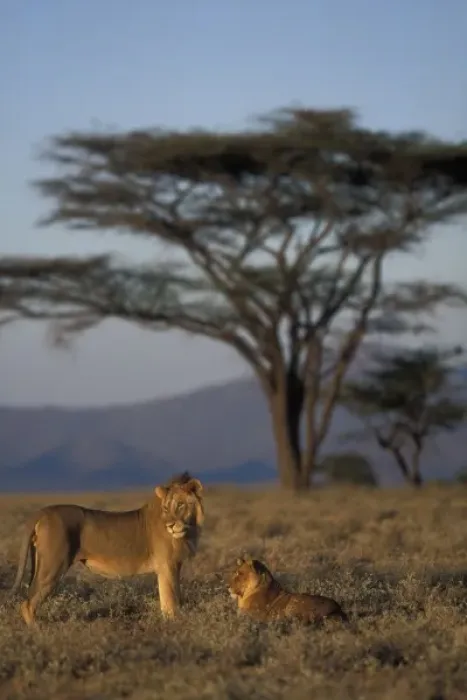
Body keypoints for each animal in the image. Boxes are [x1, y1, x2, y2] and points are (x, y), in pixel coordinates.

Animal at [11, 472, 204, 626]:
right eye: (166, 507)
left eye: (180, 505)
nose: (170, 526)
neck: (190, 528)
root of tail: (43, 512)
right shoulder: (167, 565)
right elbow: (170, 600)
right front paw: (174, 624)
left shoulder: (172, 566)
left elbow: (170, 598)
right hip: (53, 566)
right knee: (27, 603)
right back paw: (38, 630)